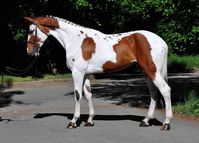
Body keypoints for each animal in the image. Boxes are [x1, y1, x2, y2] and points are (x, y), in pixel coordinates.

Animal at [23, 15, 173, 131]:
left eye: (31, 30)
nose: (29, 52)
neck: (75, 40)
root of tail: (161, 42)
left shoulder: (77, 73)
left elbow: (78, 95)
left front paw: (73, 122)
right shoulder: (85, 74)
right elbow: (88, 95)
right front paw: (89, 120)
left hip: (152, 71)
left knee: (165, 90)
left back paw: (166, 123)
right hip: (147, 72)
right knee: (153, 93)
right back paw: (145, 121)